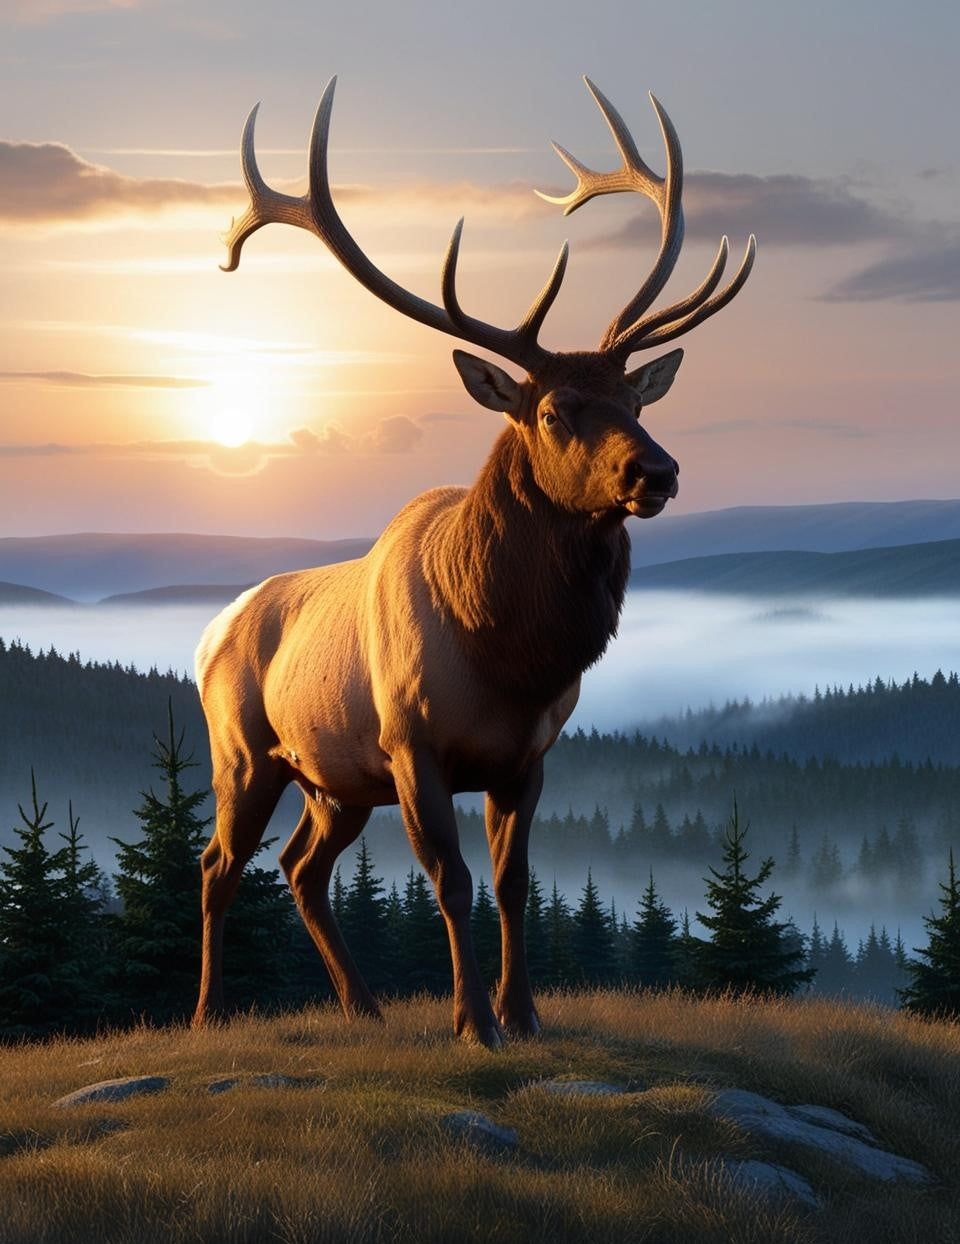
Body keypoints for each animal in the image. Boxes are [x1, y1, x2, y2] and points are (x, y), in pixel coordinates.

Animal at [192, 76, 755, 1046]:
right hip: (247, 752)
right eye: (556, 410)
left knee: (301, 867)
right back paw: (207, 1014)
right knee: (217, 863)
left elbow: (515, 884)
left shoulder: (528, 756)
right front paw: (470, 1024)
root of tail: (206, 635)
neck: (506, 657)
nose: (657, 471)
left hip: (335, 782)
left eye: (635, 399)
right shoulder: (412, 746)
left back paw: (364, 1004)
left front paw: (522, 1015)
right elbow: (451, 884)